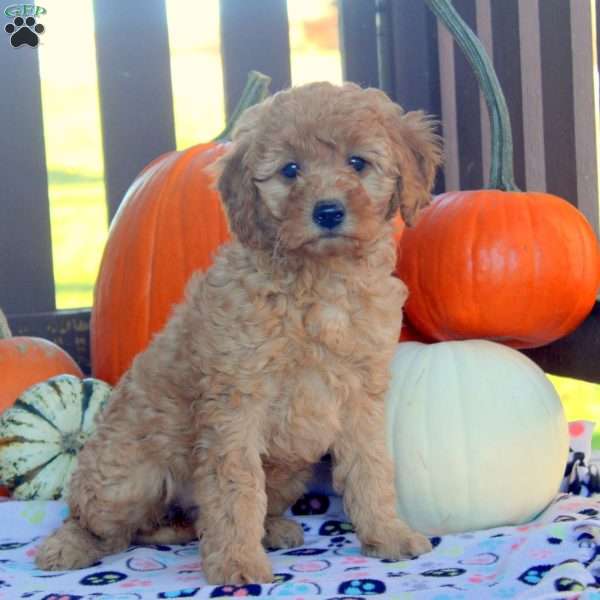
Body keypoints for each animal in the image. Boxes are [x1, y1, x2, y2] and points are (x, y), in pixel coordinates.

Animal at [35, 82, 442, 584]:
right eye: (291, 170)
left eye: (357, 163)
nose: (328, 212)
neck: (320, 281)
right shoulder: (236, 403)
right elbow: (236, 486)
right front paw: (237, 563)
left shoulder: (360, 398)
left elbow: (372, 468)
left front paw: (387, 534)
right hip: (125, 475)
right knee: (100, 522)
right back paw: (68, 547)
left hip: (288, 471)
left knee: (177, 523)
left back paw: (266, 529)